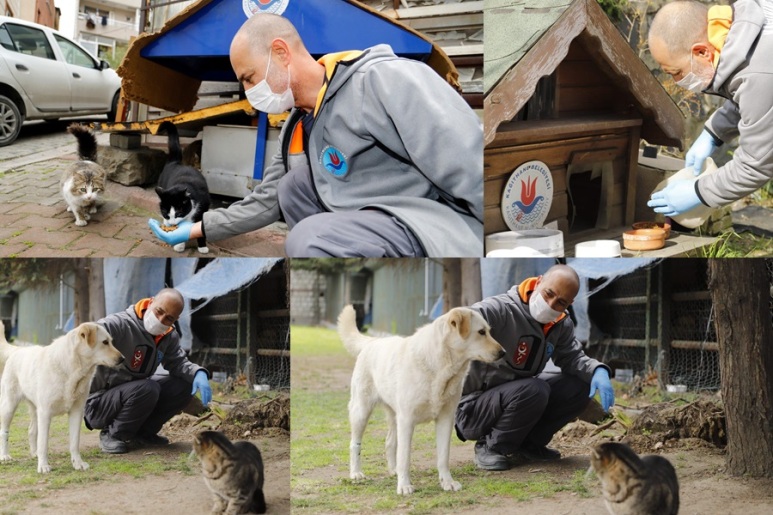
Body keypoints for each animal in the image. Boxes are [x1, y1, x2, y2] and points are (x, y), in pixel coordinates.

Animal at [0, 320, 123, 474]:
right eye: (105, 342)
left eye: (110, 341)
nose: (123, 359)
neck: (71, 370)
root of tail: (17, 350)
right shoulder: (45, 413)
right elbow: (43, 443)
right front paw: (43, 466)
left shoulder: (76, 412)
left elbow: (74, 442)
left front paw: (78, 463)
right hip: (9, 406)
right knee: (4, 432)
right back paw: (5, 456)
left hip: (35, 410)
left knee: (32, 431)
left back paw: (34, 453)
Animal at [154, 121, 210, 254]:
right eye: (166, 213)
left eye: (179, 212)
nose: (171, 223)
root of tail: (175, 162)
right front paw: (179, 245)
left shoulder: (203, 209)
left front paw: (202, 246)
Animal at [336, 306, 504, 496]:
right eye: (481, 332)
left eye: (488, 331)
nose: (503, 352)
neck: (440, 367)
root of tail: (373, 342)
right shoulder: (407, 420)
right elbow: (405, 457)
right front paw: (404, 485)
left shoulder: (445, 419)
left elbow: (443, 456)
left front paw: (447, 482)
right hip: (361, 412)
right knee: (355, 444)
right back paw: (356, 473)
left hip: (394, 417)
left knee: (390, 442)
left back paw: (393, 470)